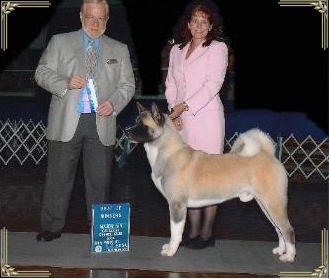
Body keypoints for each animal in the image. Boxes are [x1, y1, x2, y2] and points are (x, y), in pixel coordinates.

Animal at [124, 101, 296, 264]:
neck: (168, 152)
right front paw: (170, 248)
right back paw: (280, 250)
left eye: (142, 124)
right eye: (135, 121)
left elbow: (175, 231)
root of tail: (268, 155)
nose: (126, 131)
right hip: (265, 204)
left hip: (273, 203)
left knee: (287, 229)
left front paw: (171, 250)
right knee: (278, 229)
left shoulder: (176, 205)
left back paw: (289, 256)